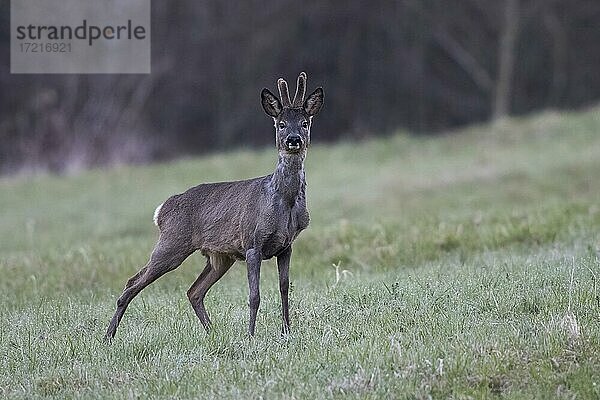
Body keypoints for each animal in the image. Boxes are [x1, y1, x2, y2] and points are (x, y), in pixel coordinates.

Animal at [105, 71, 326, 338]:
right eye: (280, 124)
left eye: (305, 123)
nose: (293, 140)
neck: (284, 201)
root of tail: (162, 210)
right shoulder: (252, 243)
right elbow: (254, 295)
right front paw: (251, 335)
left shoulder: (286, 246)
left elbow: (284, 289)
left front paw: (286, 332)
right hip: (172, 243)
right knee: (132, 283)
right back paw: (108, 336)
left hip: (219, 257)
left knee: (194, 291)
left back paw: (212, 332)